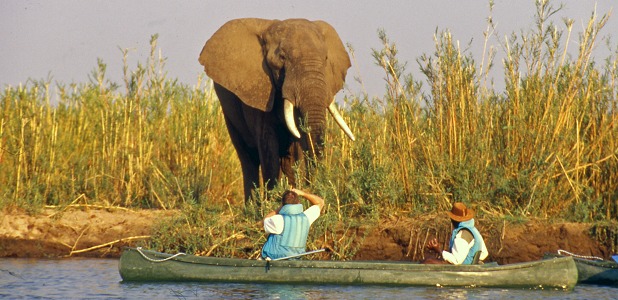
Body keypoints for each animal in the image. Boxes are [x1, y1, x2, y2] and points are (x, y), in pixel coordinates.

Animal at [197, 18, 352, 202]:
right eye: (282, 58)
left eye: (326, 58)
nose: (313, 186)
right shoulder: (258, 89)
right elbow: (268, 145)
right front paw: (272, 202)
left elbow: (297, 143)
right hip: (228, 111)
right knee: (248, 158)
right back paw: (253, 206)